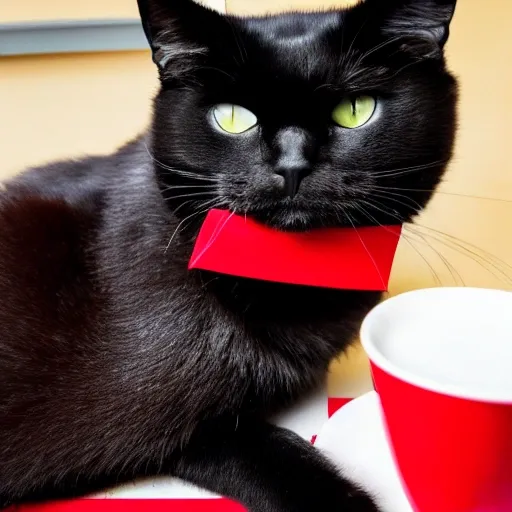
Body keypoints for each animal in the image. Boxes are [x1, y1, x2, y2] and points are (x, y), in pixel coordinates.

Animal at [0, 2, 456, 510]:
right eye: (233, 118)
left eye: (355, 110)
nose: (292, 165)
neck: (286, 283)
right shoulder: (150, 419)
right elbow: (278, 454)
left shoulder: (201, 431)